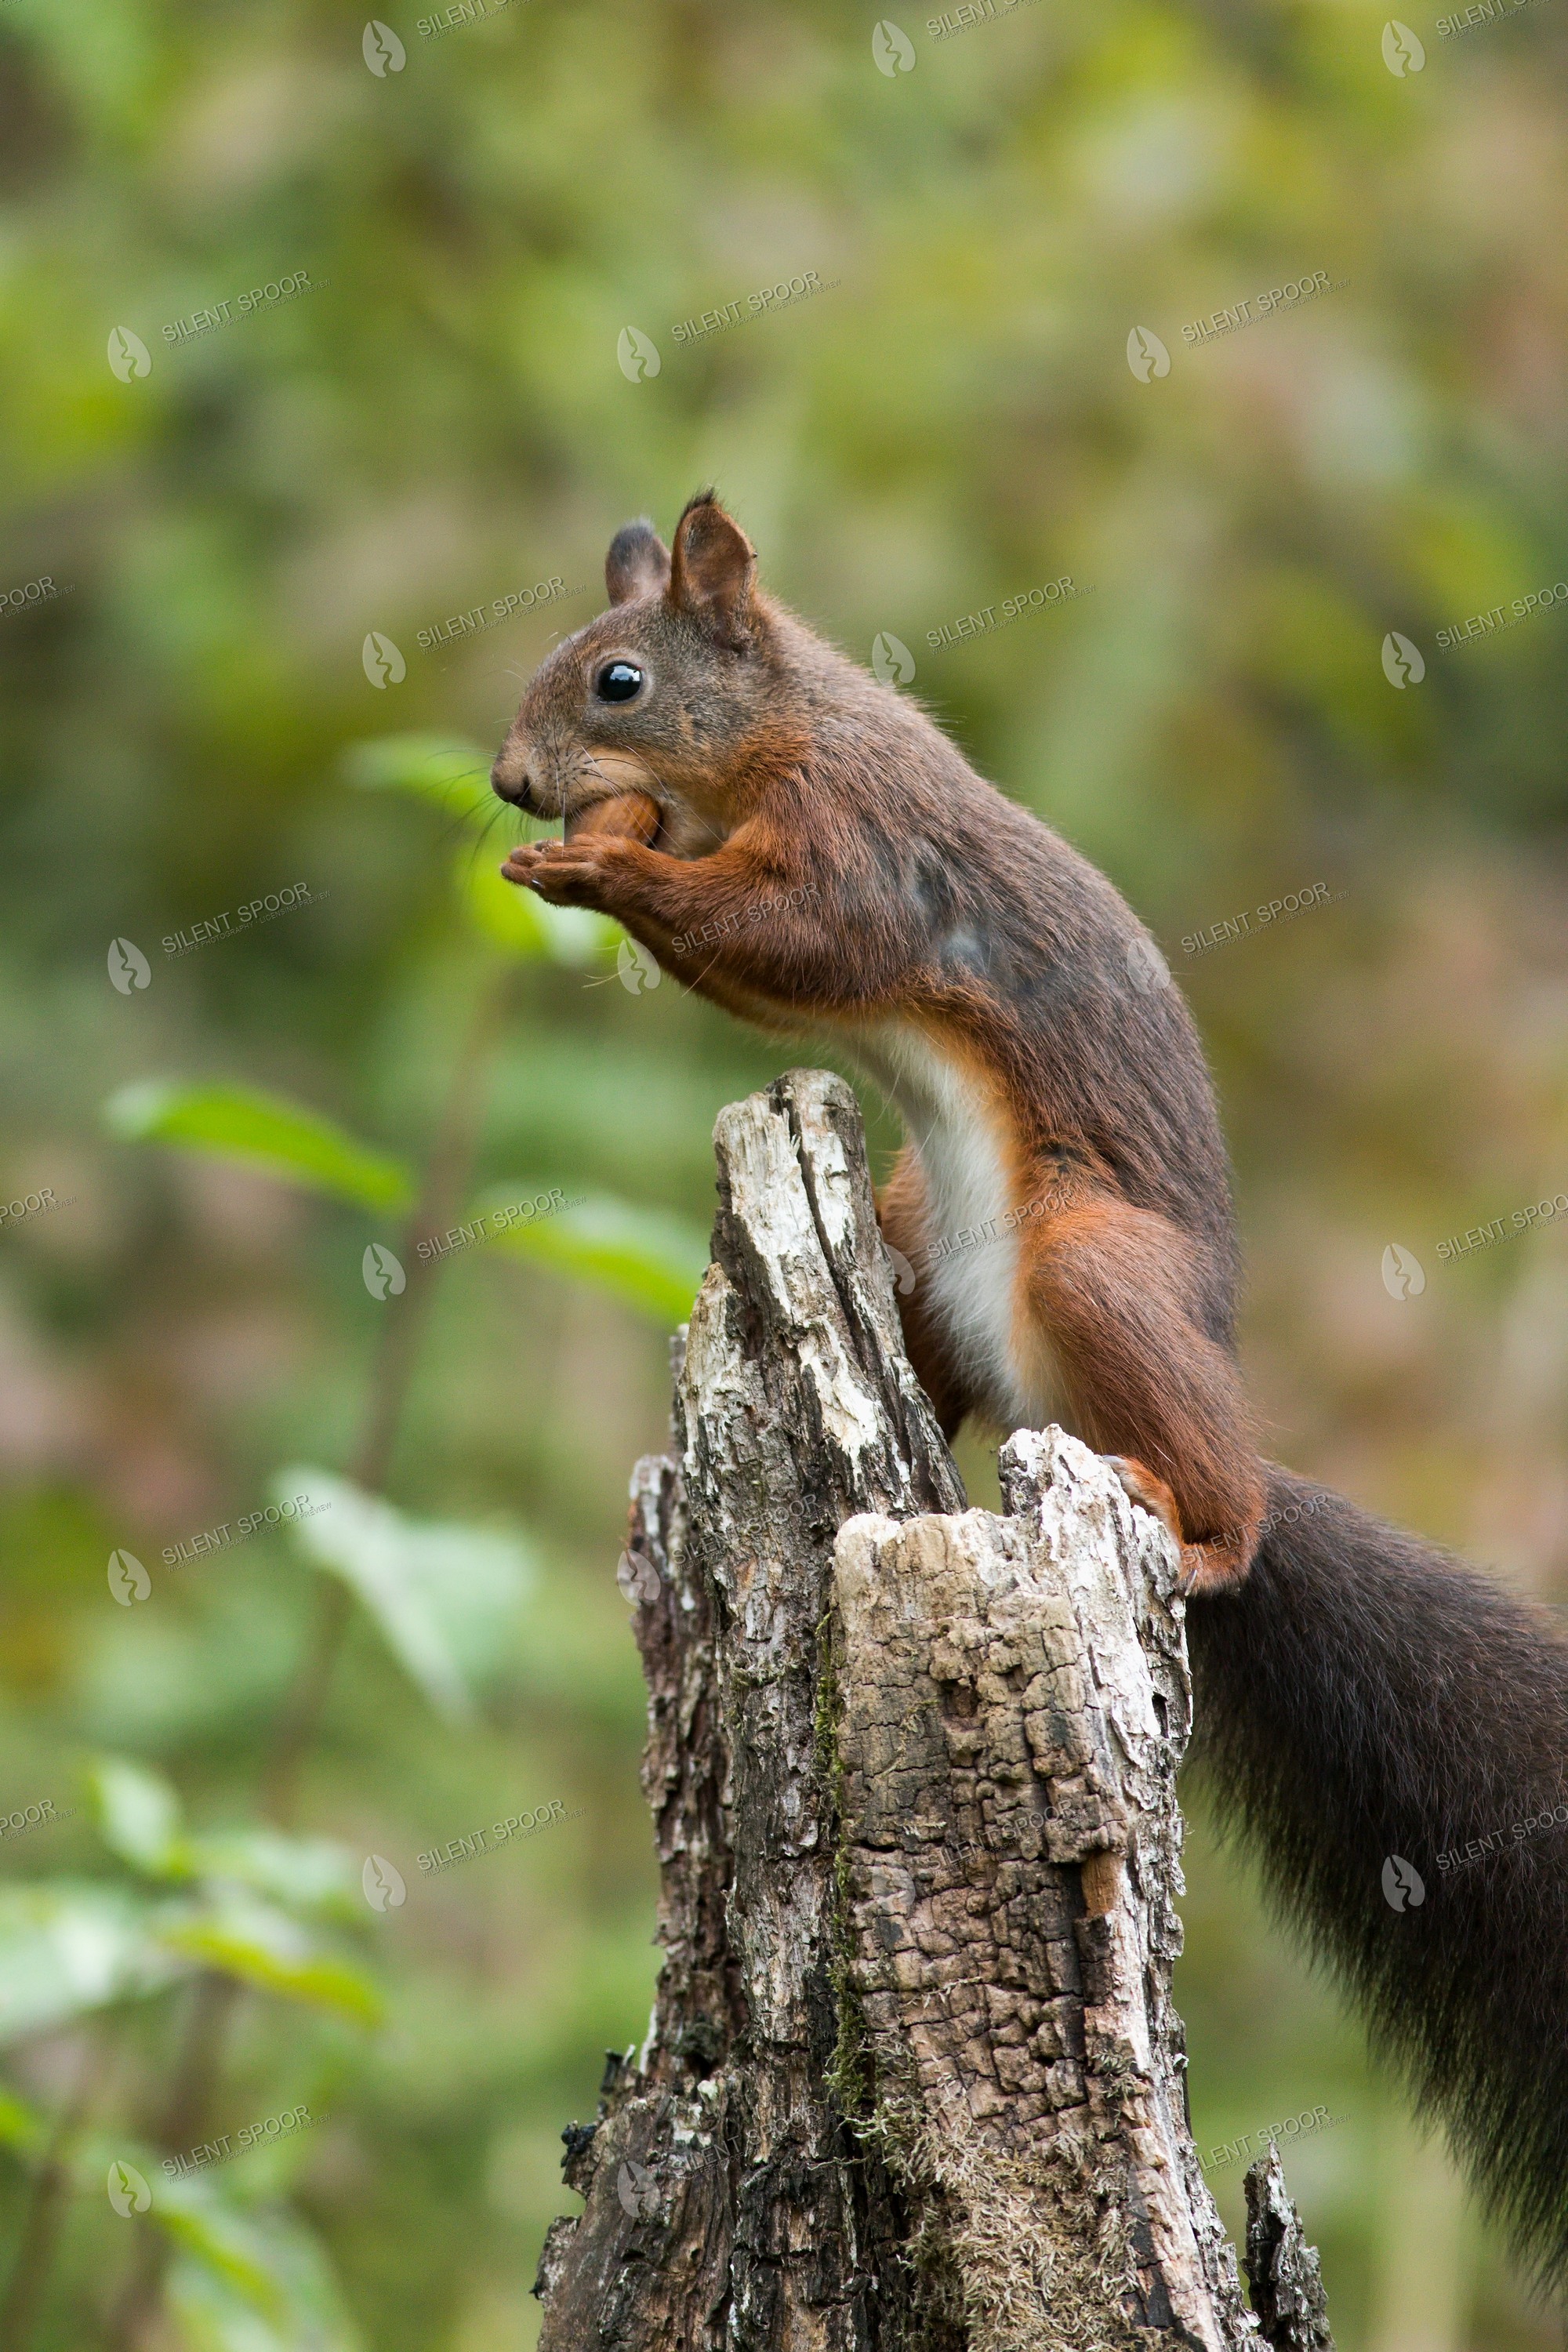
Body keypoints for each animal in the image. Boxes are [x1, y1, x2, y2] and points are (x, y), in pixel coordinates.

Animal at [494, 491, 1568, 2288]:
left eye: (619, 680)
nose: (511, 782)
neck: (784, 734)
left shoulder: (860, 850)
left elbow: (797, 936)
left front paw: (602, 859)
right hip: (925, 1248)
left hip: (1093, 1269)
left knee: (1230, 1493)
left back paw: (1199, 1534)